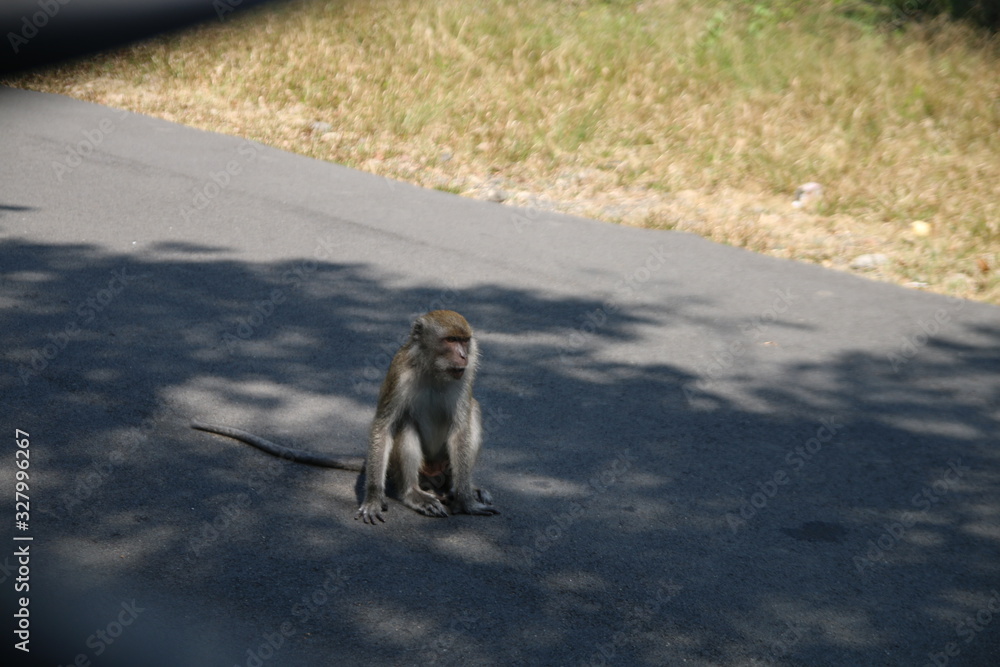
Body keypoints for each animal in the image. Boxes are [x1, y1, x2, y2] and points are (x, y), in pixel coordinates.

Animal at [188, 310, 496, 524]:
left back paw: (459, 489)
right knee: (404, 424)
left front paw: (466, 501)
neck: (434, 370)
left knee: (474, 410)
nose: (463, 356)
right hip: (414, 471)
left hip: (443, 467)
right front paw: (372, 497)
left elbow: (461, 430)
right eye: (450, 340)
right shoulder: (399, 372)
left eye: (465, 341)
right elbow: (383, 426)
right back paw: (413, 494)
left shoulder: (465, 376)